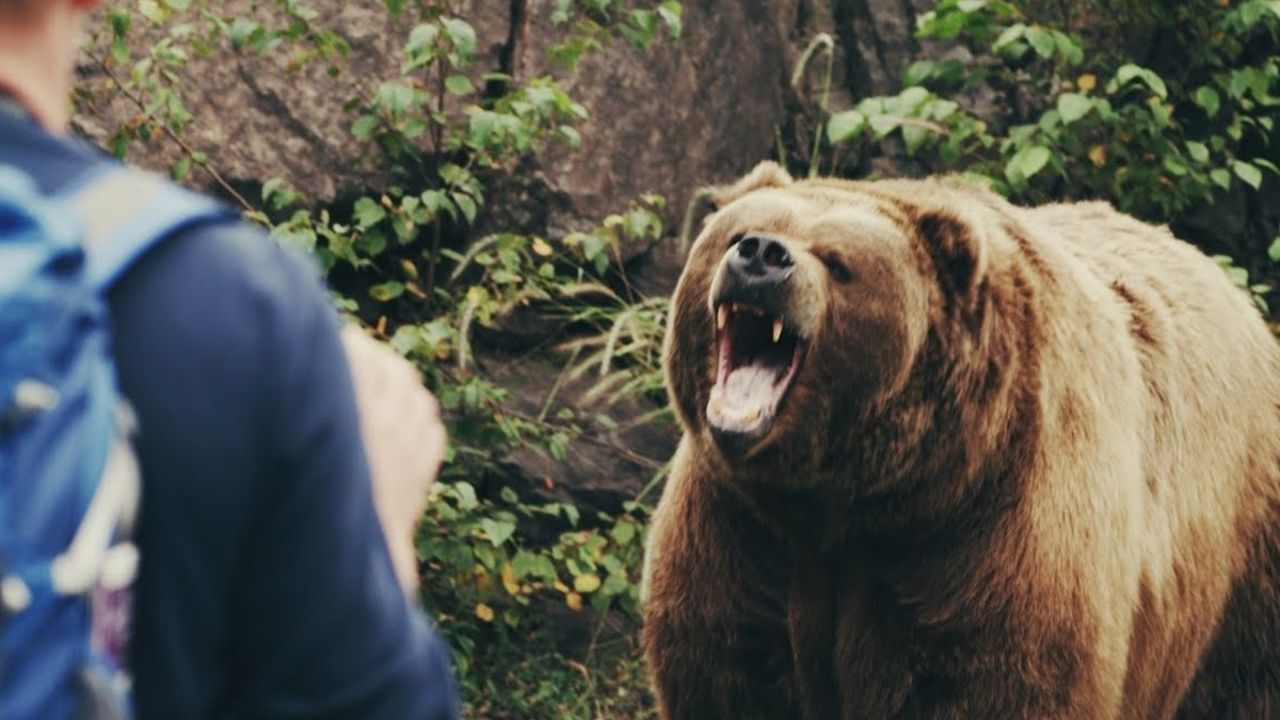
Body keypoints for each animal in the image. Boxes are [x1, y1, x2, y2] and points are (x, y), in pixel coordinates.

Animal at [645, 162, 1280, 717]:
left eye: (838, 262)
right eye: (736, 234)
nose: (761, 256)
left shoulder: (992, 530)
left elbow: (996, 682)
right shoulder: (742, 528)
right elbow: (732, 669)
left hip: (1243, 561)